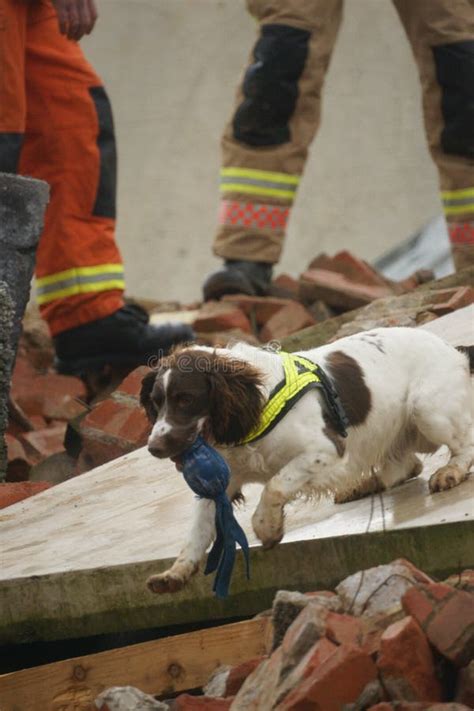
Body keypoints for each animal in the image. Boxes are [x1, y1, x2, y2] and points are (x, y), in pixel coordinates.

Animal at [141, 330, 474, 596]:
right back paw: (361, 485)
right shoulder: (221, 481)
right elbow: (197, 532)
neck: (256, 407)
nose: (154, 448)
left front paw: (267, 526)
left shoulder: (325, 450)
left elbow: (275, 485)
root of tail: (453, 349)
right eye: (156, 402)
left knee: (463, 444)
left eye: (185, 399)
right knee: (406, 466)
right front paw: (174, 574)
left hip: (425, 409)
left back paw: (450, 472)